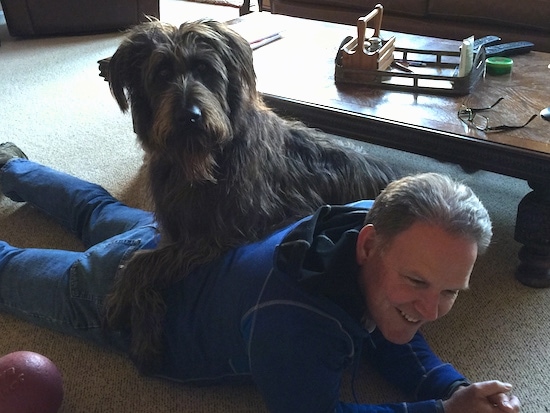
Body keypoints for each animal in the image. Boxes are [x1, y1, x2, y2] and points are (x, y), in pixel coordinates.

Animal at [102, 19, 402, 370]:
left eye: (205, 70)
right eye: (162, 73)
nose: (190, 116)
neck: (203, 162)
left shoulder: (221, 232)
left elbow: (143, 261)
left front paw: (124, 305)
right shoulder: (177, 229)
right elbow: (150, 259)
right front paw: (144, 324)